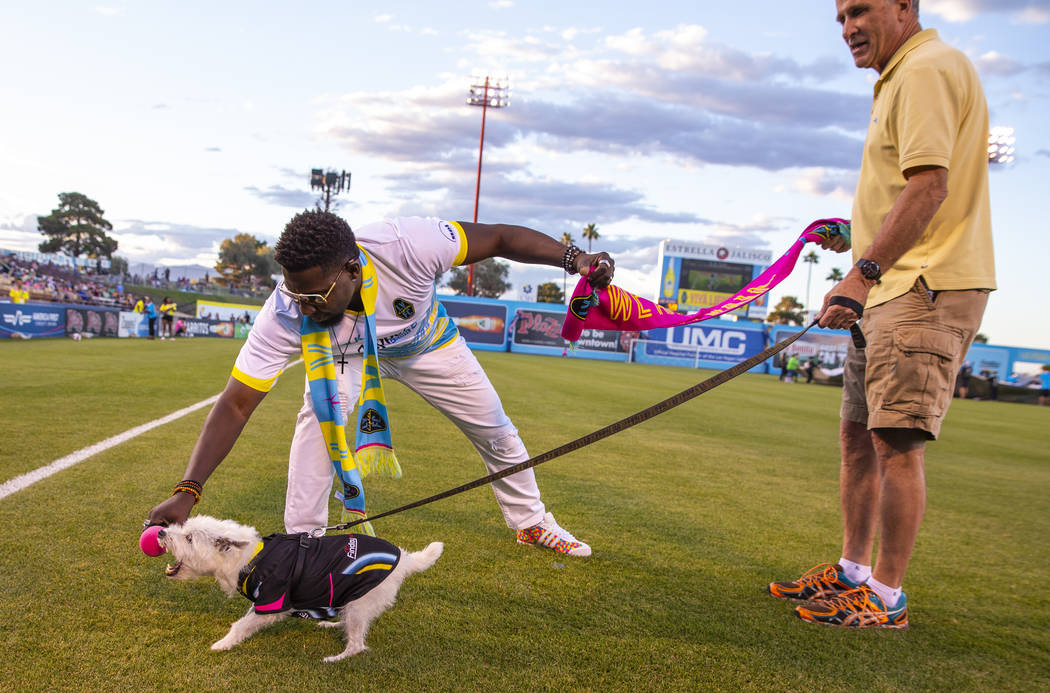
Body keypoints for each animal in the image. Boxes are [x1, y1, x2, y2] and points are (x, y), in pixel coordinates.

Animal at [156, 514, 443, 659]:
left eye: (189, 538)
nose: (160, 532)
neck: (249, 558)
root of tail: (405, 559)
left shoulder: (272, 602)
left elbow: (240, 625)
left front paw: (223, 644)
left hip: (360, 602)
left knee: (357, 645)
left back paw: (337, 658)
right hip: (351, 600)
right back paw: (331, 625)